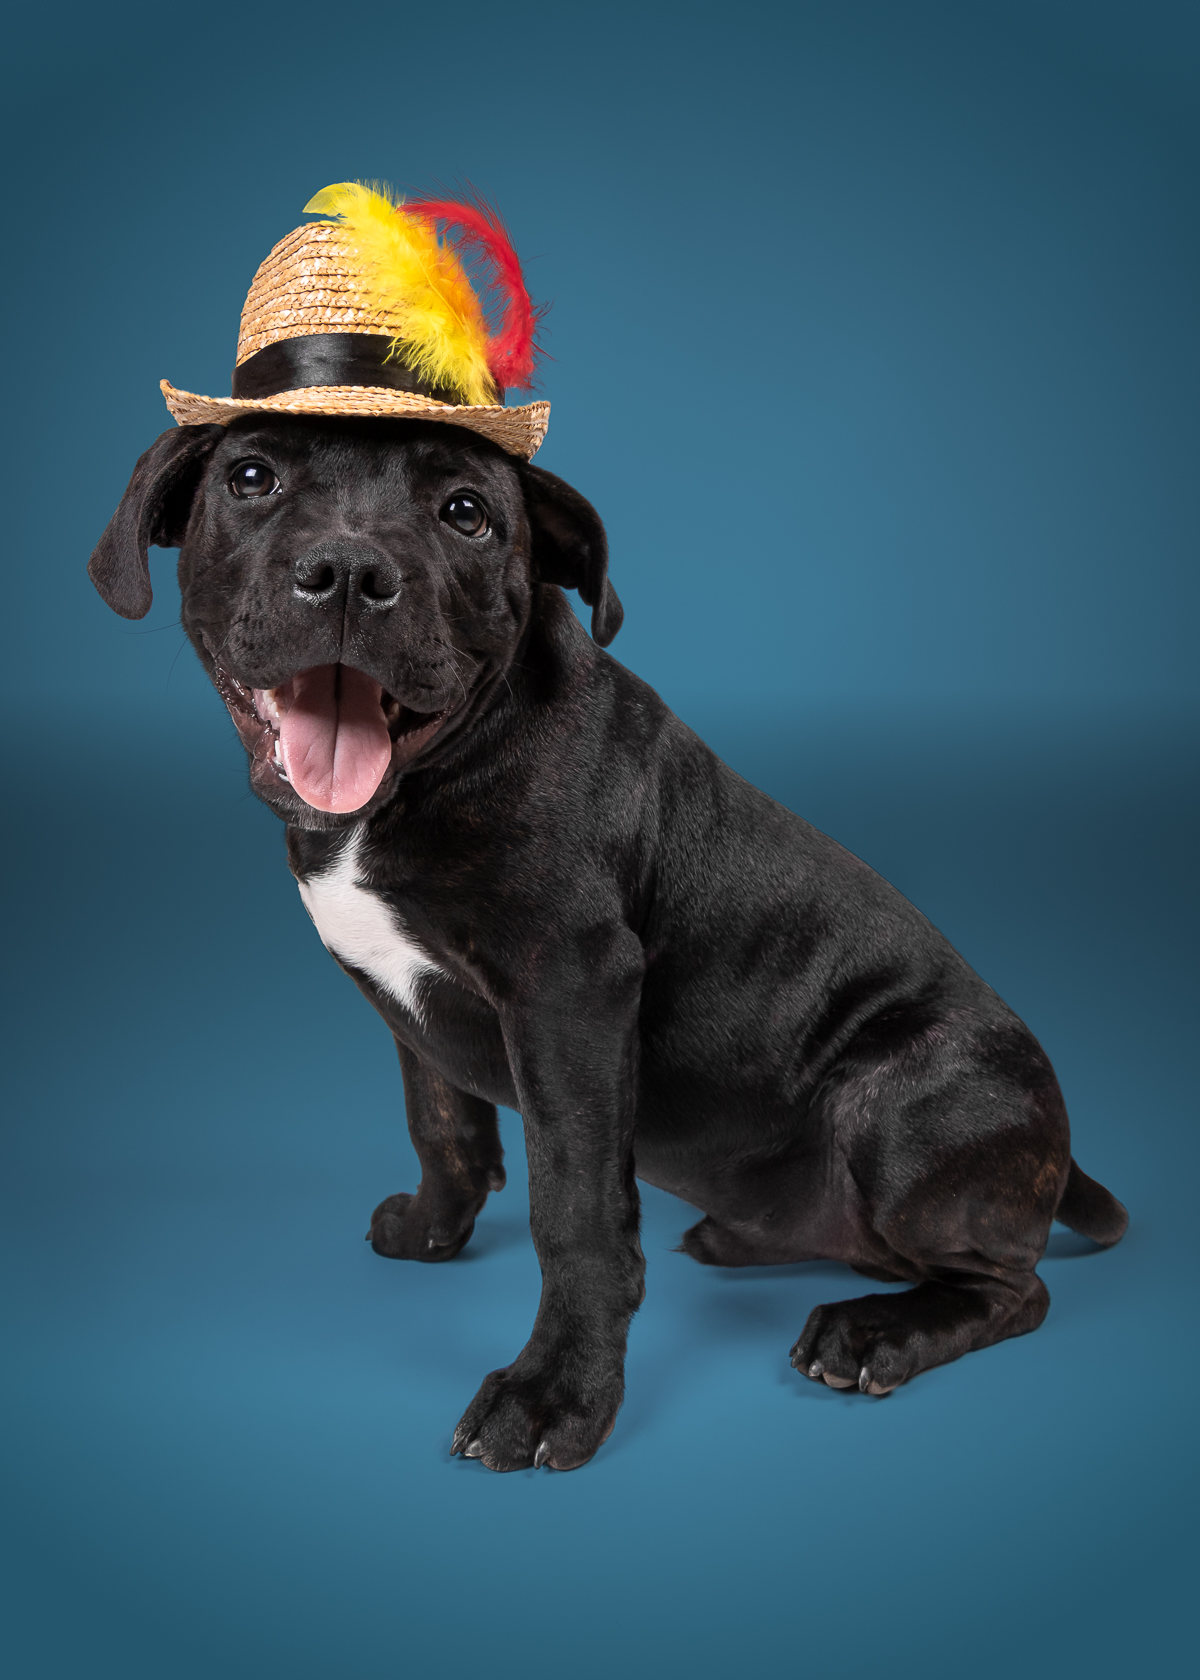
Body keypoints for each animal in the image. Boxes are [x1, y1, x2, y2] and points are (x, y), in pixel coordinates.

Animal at [86, 416, 1122, 1471]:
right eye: (252, 477)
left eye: (467, 513)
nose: (346, 571)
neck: (420, 780)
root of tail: (1058, 1150)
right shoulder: (409, 1001)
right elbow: (442, 1121)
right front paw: (431, 1228)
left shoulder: (569, 994)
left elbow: (575, 1212)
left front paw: (556, 1394)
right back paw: (747, 1239)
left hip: (907, 1104)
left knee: (1014, 1287)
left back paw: (876, 1333)